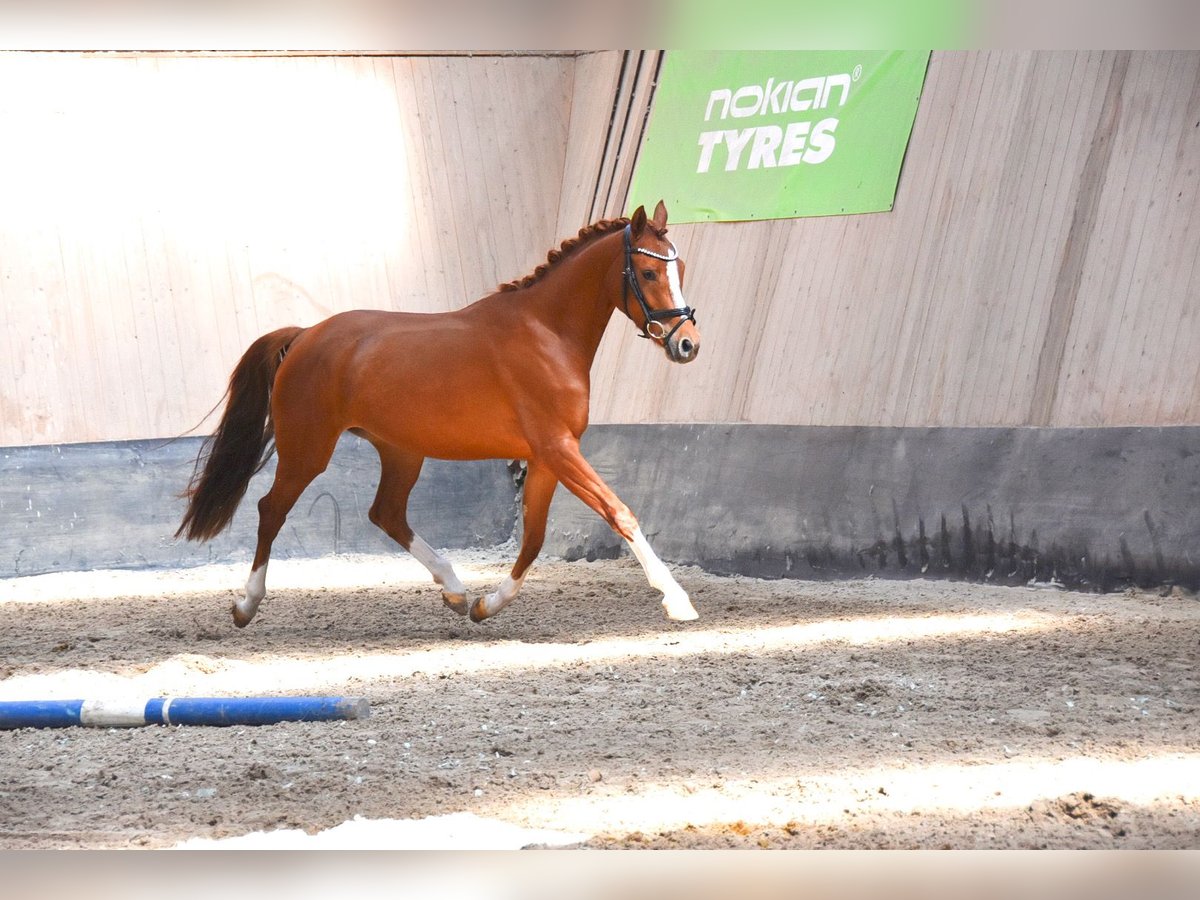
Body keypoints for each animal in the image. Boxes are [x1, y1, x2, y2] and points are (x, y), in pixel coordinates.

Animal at [178, 201, 700, 628]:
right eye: (648, 274)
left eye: (680, 267)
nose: (687, 344)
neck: (547, 334)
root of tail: (305, 335)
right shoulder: (557, 449)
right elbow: (620, 513)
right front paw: (677, 601)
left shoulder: (548, 458)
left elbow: (533, 540)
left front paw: (486, 606)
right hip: (307, 450)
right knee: (272, 510)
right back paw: (246, 605)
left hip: (401, 451)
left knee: (386, 513)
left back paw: (454, 589)